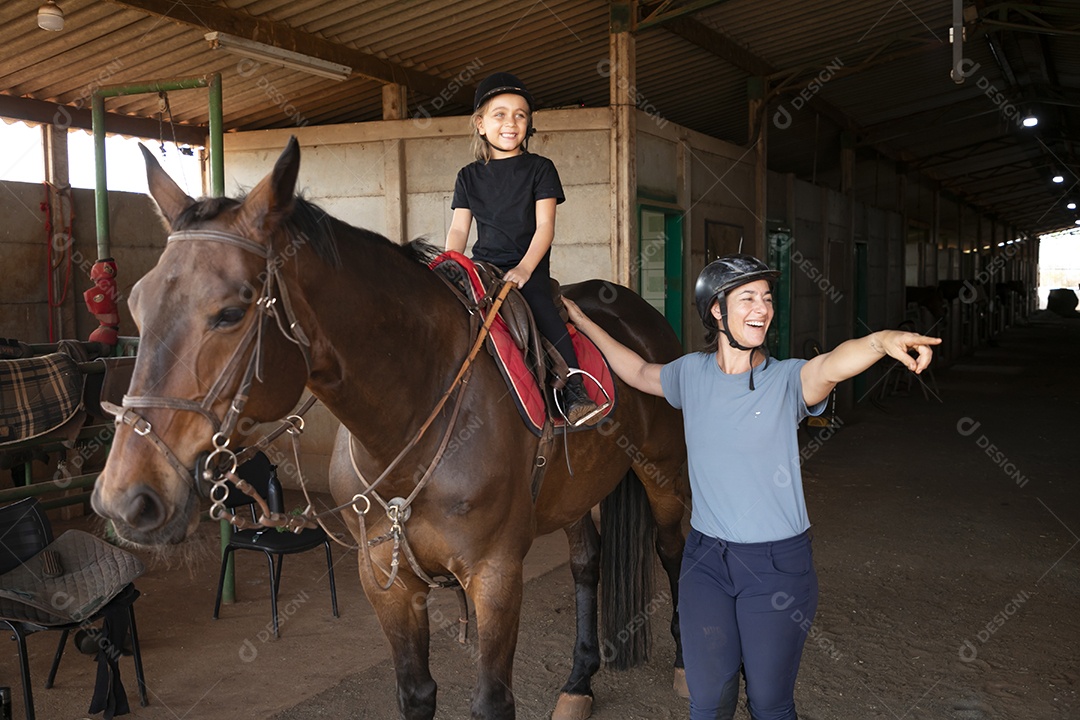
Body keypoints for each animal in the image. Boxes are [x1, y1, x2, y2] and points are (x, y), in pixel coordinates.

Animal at [90, 138, 682, 716]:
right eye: (137, 304)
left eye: (232, 312)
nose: (125, 497)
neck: (413, 419)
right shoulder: (383, 577)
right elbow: (415, 692)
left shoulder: (496, 574)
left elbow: (493, 701)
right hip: (570, 494)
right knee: (586, 561)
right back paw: (579, 682)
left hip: (664, 473)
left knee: (672, 550)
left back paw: (682, 666)